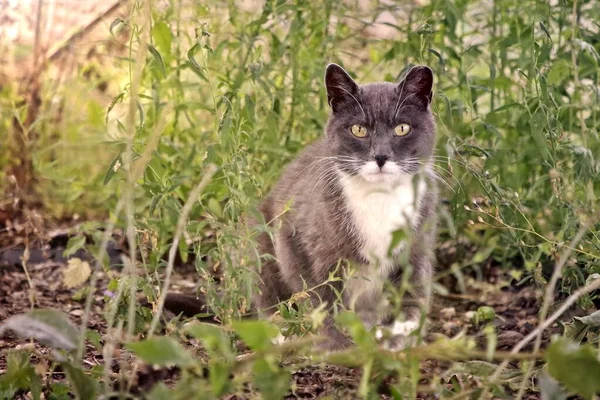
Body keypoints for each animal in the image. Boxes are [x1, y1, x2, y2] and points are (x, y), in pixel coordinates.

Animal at [166, 62, 438, 350]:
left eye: (402, 129)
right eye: (359, 130)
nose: (381, 156)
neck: (380, 198)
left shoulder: (419, 243)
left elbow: (413, 293)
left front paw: (399, 338)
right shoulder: (296, 238)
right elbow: (319, 299)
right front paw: (334, 346)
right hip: (256, 235)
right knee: (266, 294)